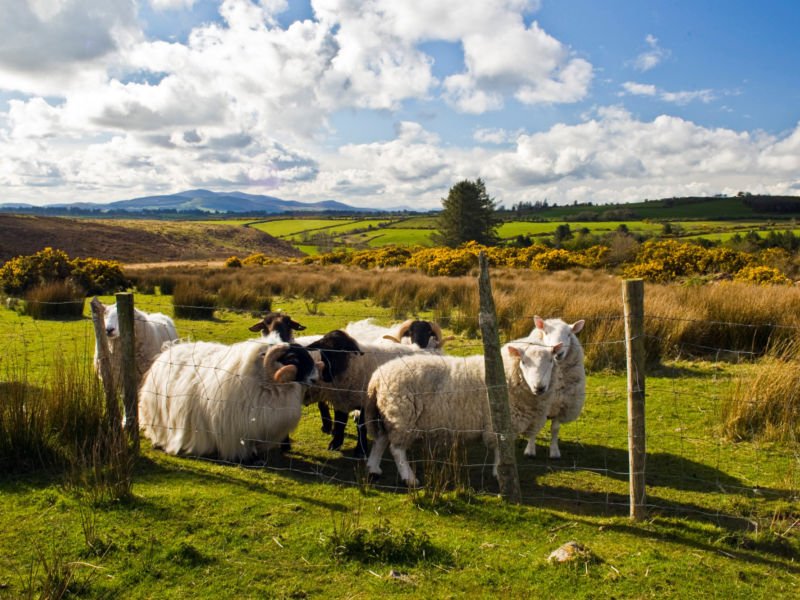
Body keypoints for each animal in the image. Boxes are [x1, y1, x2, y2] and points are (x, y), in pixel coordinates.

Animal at [364, 340, 560, 486]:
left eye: (551, 361)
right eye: (524, 362)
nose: (540, 387)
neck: (508, 376)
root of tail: (377, 378)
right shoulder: (498, 423)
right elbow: (499, 450)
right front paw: (500, 472)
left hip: (386, 415)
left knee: (380, 441)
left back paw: (373, 468)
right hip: (402, 417)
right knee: (396, 449)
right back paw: (409, 478)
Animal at [520, 314, 584, 460]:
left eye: (569, 334)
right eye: (546, 332)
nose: (557, 351)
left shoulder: (561, 405)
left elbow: (555, 430)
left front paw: (554, 451)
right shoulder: (536, 406)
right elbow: (534, 429)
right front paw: (530, 450)